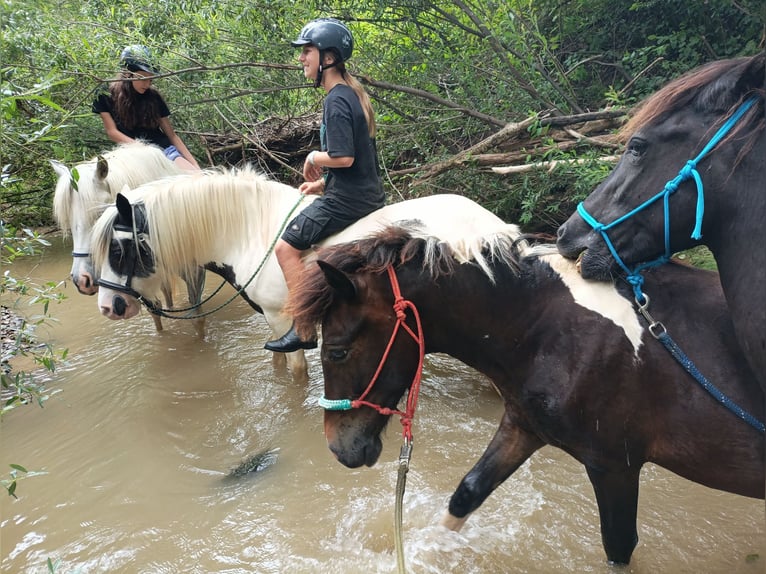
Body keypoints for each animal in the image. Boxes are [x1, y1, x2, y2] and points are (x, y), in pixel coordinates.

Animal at [52, 141, 206, 336]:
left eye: (100, 215)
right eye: (69, 222)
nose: (82, 281)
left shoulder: (195, 272)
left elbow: (197, 318)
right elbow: (156, 313)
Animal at [90, 169, 510, 390]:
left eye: (119, 249)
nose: (109, 306)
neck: (251, 229)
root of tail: (490, 228)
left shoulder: (282, 317)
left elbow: (294, 371)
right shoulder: (271, 319)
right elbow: (277, 363)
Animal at [292, 226, 764, 568]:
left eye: (336, 351)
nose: (340, 448)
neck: (547, 327)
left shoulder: (614, 466)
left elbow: (618, 545)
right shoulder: (522, 427)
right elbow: (466, 494)